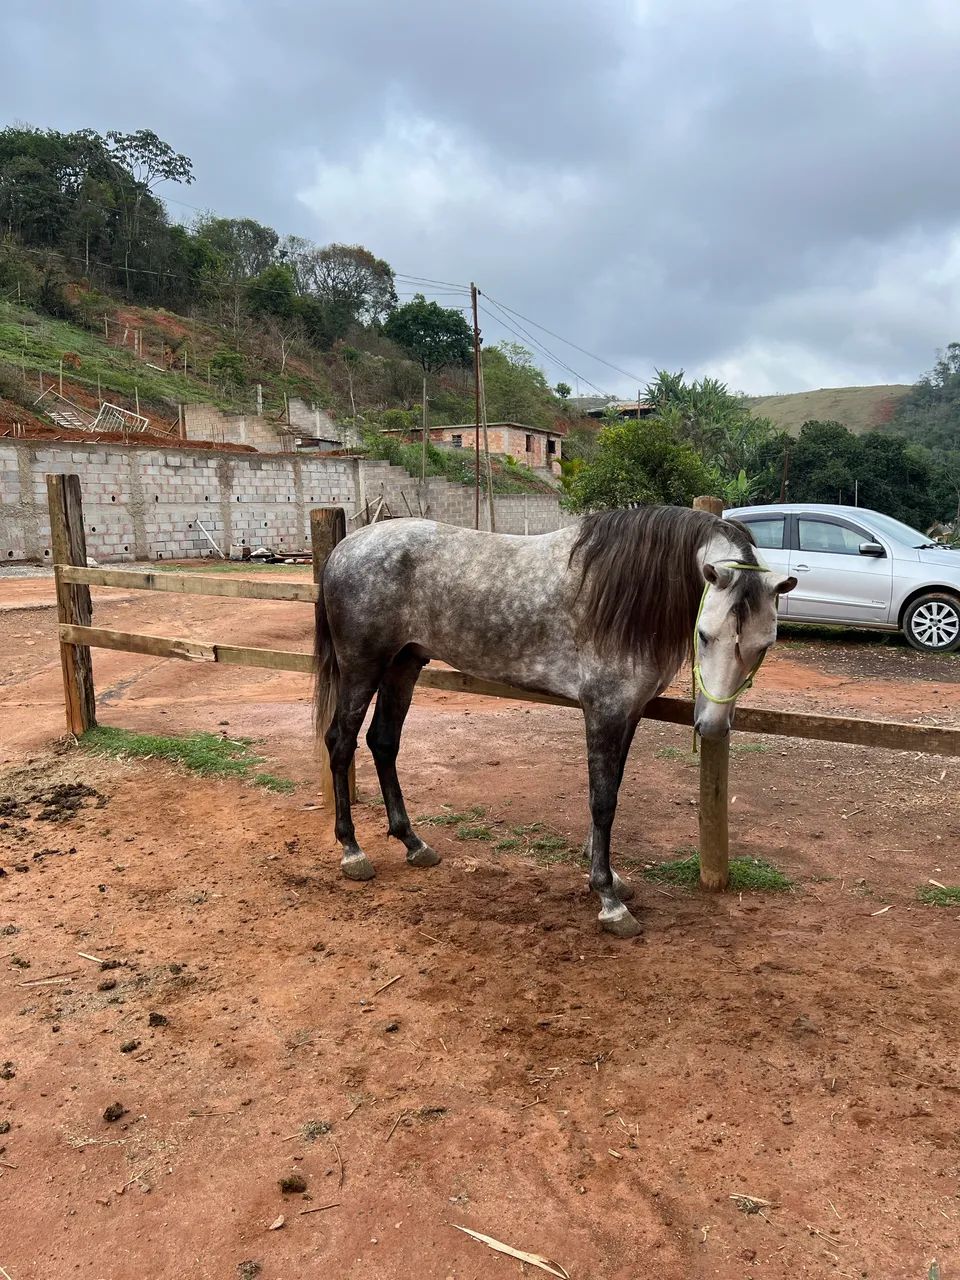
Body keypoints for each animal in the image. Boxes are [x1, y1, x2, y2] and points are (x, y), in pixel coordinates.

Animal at [314, 505, 797, 937]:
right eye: (704, 635)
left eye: (765, 645)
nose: (712, 727)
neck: (623, 595)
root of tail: (344, 549)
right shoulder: (604, 711)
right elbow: (603, 802)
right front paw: (608, 900)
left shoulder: (628, 713)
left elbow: (611, 792)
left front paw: (610, 878)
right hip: (363, 667)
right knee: (340, 742)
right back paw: (352, 851)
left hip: (404, 663)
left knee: (383, 742)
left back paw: (413, 843)